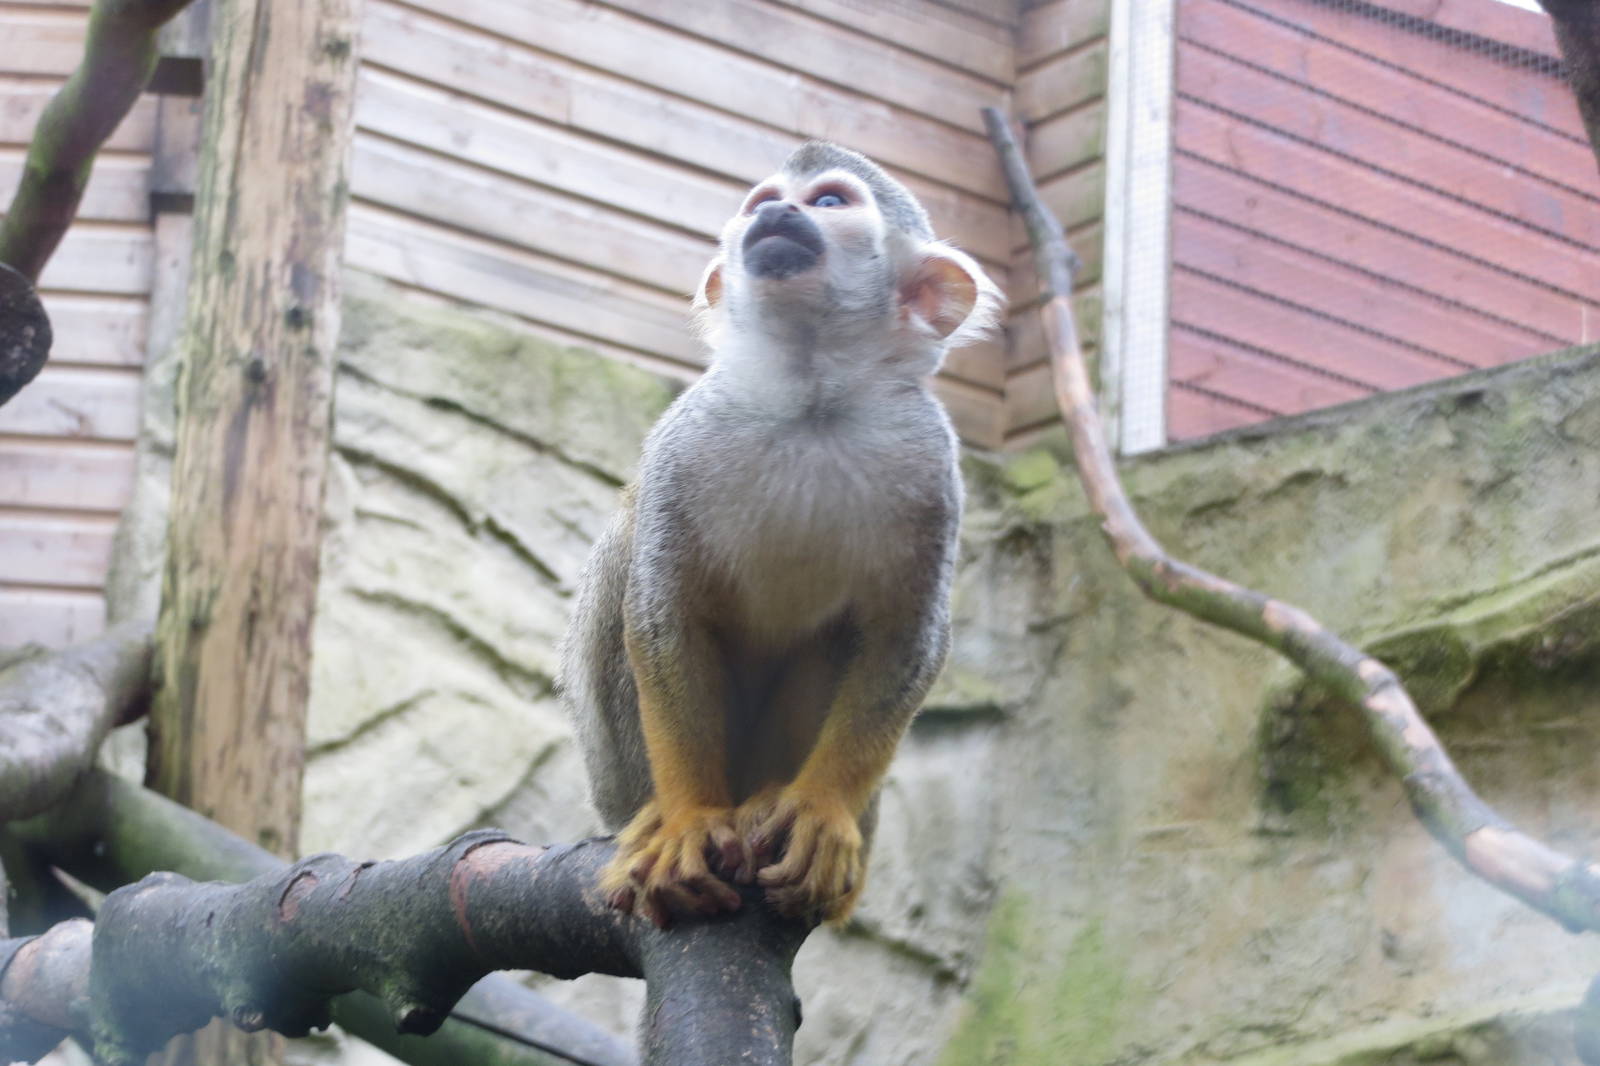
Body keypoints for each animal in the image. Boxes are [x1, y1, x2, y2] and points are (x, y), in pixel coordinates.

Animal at [559, 141, 1002, 929]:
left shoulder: (932, 464)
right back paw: (654, 817)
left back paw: (777, 803)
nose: (775, 215)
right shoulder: (684, 439)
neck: (810, 399)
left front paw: (821, 809)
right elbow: (662, 616)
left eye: (828, 202)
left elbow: (905, 639)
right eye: (760, 201)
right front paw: (687, 819)